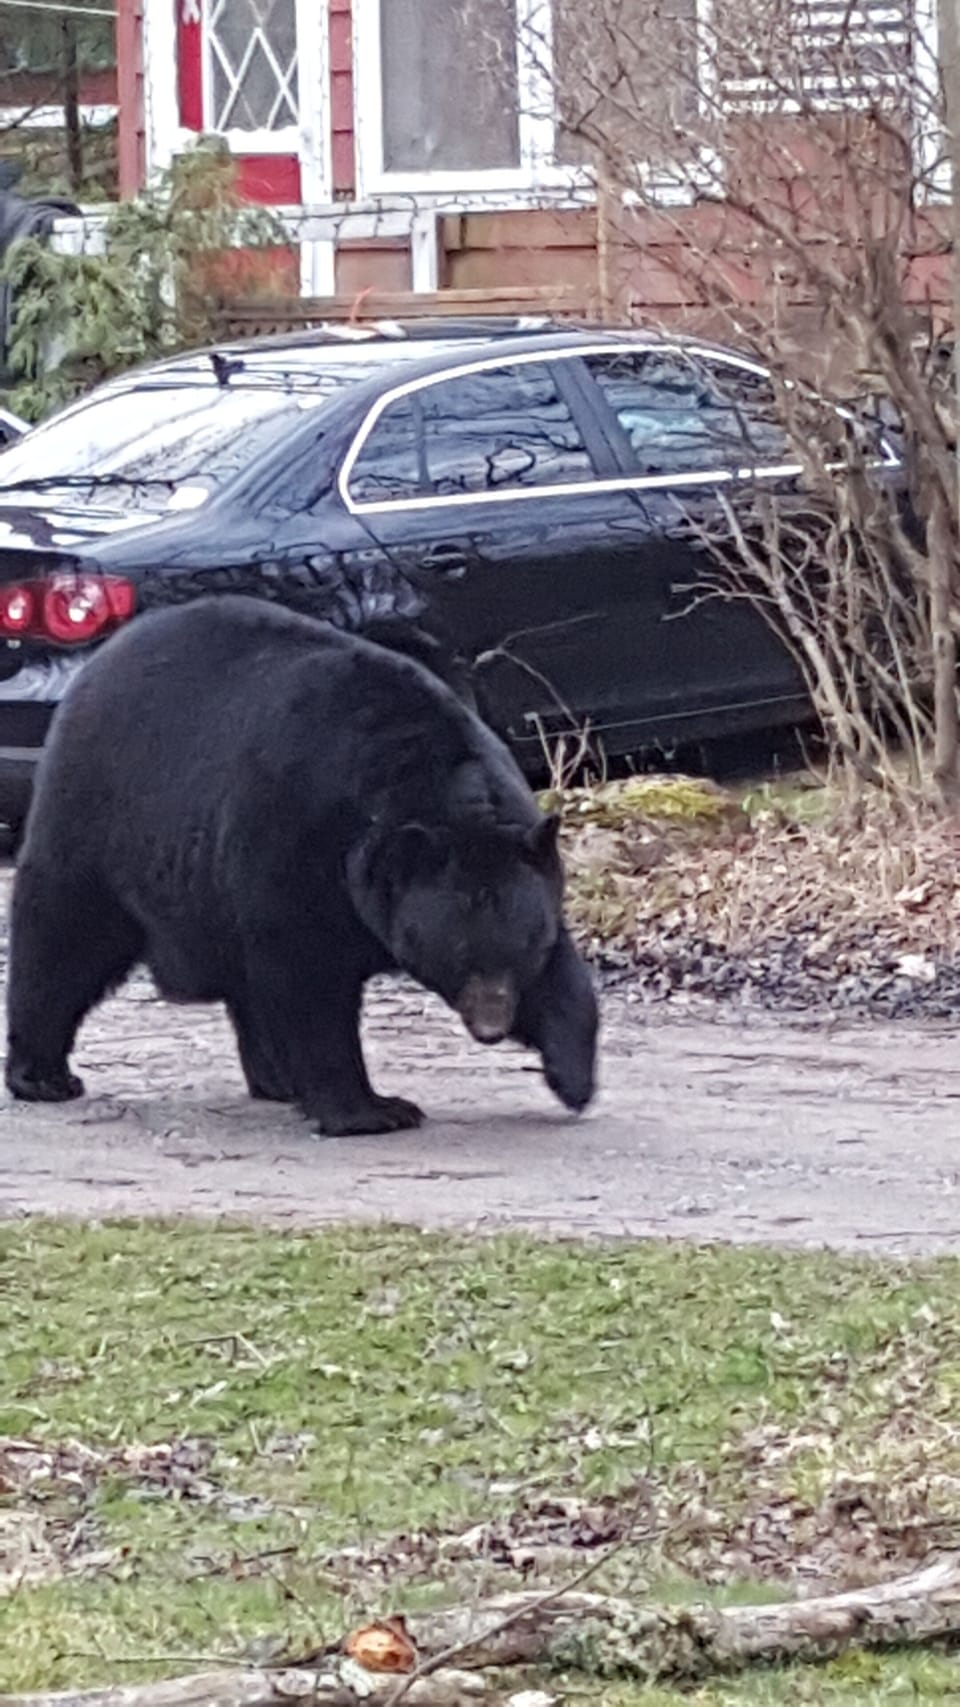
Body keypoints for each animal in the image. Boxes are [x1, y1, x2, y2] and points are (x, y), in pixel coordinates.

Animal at [5, 595, 597, 1136]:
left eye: (522, 948)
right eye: (456, 953)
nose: (493, 1026)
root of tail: (106, 656)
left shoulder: (518, 858)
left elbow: (562, 972)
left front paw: (573, 1075)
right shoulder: (298, 834)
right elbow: (310, 974)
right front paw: (371, 1110)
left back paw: (277, 1079)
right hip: (105, 817)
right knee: (66, 936)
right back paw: (42, 1074)